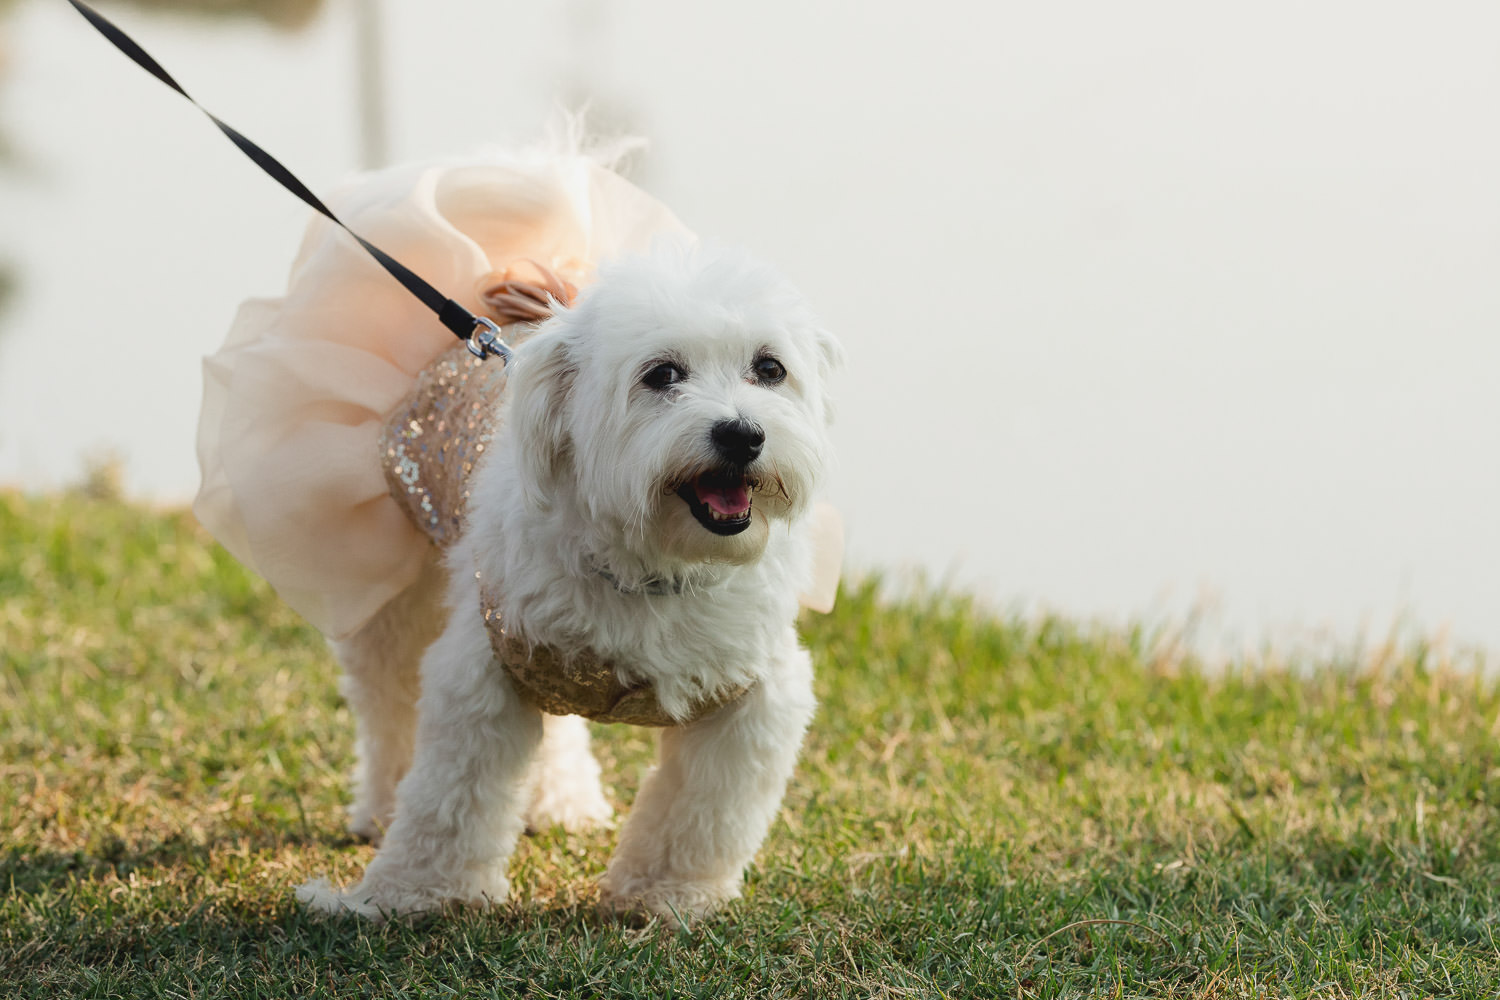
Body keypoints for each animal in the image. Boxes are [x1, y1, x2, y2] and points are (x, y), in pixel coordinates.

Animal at [292, 244, 846, 923]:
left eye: (769, 368)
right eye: (661, 375)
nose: (742, 434)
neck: (651, 566)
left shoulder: (752, 695)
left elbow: (699, 816)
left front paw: (666, 895)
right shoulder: (484, 668)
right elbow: (448, 803)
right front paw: (405, 897)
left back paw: (562, 803)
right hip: (397, 599)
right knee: (388, 704)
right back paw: (382, 810)